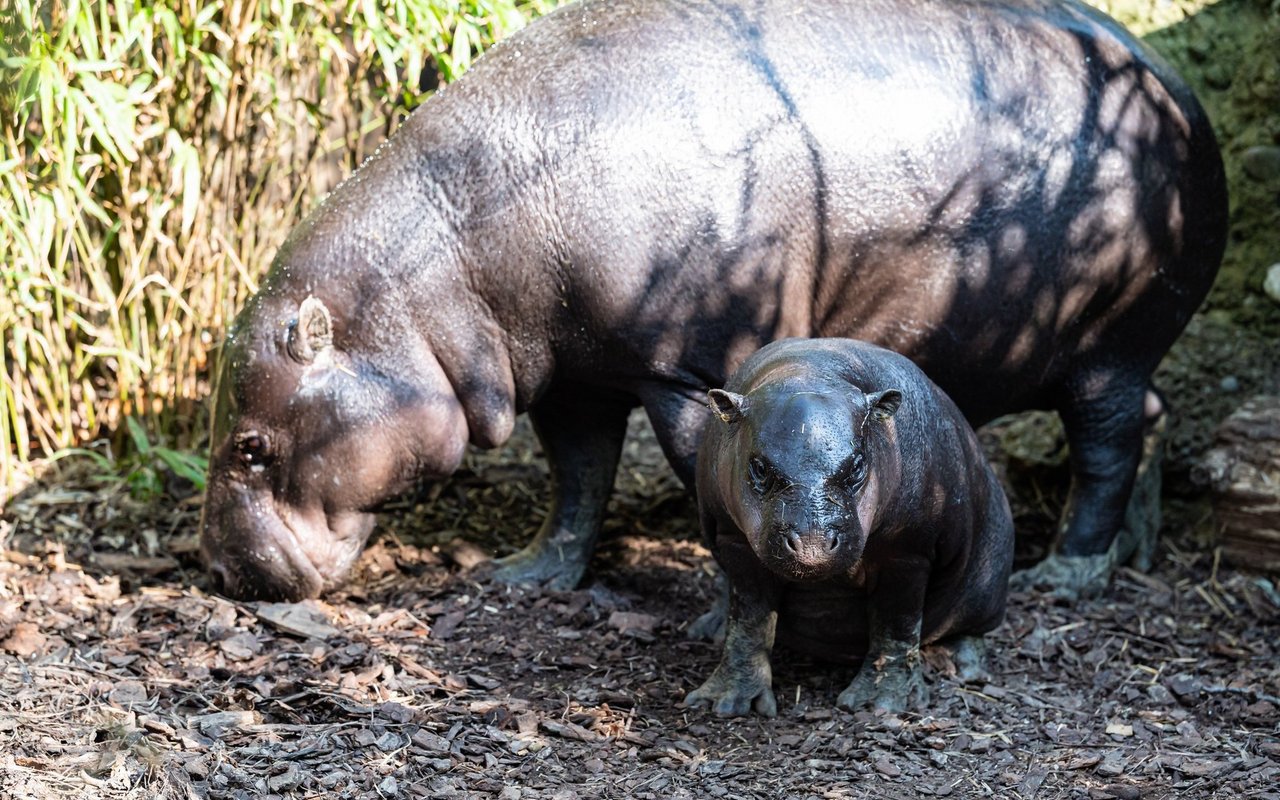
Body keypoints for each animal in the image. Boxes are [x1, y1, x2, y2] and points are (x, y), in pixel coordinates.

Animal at [202, 0, 1228, 599]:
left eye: (250, 447)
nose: (215, 571)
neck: (444, 267)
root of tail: (1176, 88)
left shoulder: (685, 367)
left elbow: (697, 462)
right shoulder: (576, 378)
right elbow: (578, 482)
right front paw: (525, 577)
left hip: (1105, 347)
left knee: (1106, 449)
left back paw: (1071, 575)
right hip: (1114, 351)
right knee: (1151, 417)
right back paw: (1136, 552)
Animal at [686, 340, 1013, 716]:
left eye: (857, 465)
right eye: (759, 467)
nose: (812, 543)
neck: (807, 371)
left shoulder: (908, 551)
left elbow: (896, 621)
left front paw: (882, 703)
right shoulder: (733, 539)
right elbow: (748, 618)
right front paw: (725, 702)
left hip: (987, 581)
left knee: (973, 623)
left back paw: (964, 666)